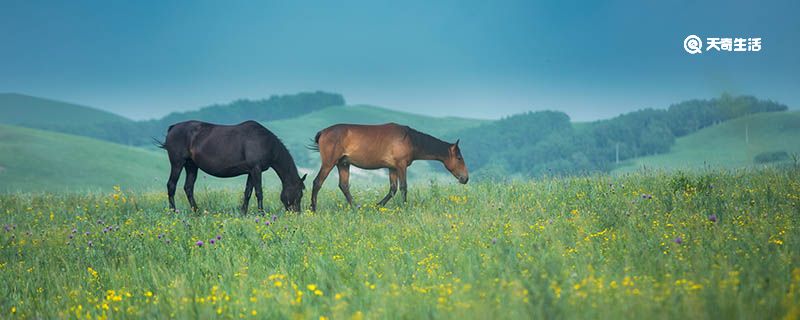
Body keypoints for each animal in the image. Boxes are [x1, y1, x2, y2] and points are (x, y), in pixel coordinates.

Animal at [159, 121, 306, 214]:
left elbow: (248, 192)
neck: (266, 142)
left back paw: (197, 211)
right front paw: (261, 213)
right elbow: (259, 192)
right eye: (300, 193)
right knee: (171, 185)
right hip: (177, 163)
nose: (296, 213)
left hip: (191, 166)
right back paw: (173, 212)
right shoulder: (256, 169)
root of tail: (173, 128)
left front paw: (243, 213)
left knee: (188, 188)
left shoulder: (251, 171)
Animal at [308, 124, 468, 211]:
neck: (409, 139)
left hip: (343, 164)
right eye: (459, 158)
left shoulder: (392, 168)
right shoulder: (401, 166)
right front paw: (404, 207)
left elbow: (393, 189)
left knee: (344, 186)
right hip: (329, 163)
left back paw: (356, 207)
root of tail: (323, 132)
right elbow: (403, 187)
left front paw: (378, 206)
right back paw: (313, 209)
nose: (465, 178)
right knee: (317, 183)